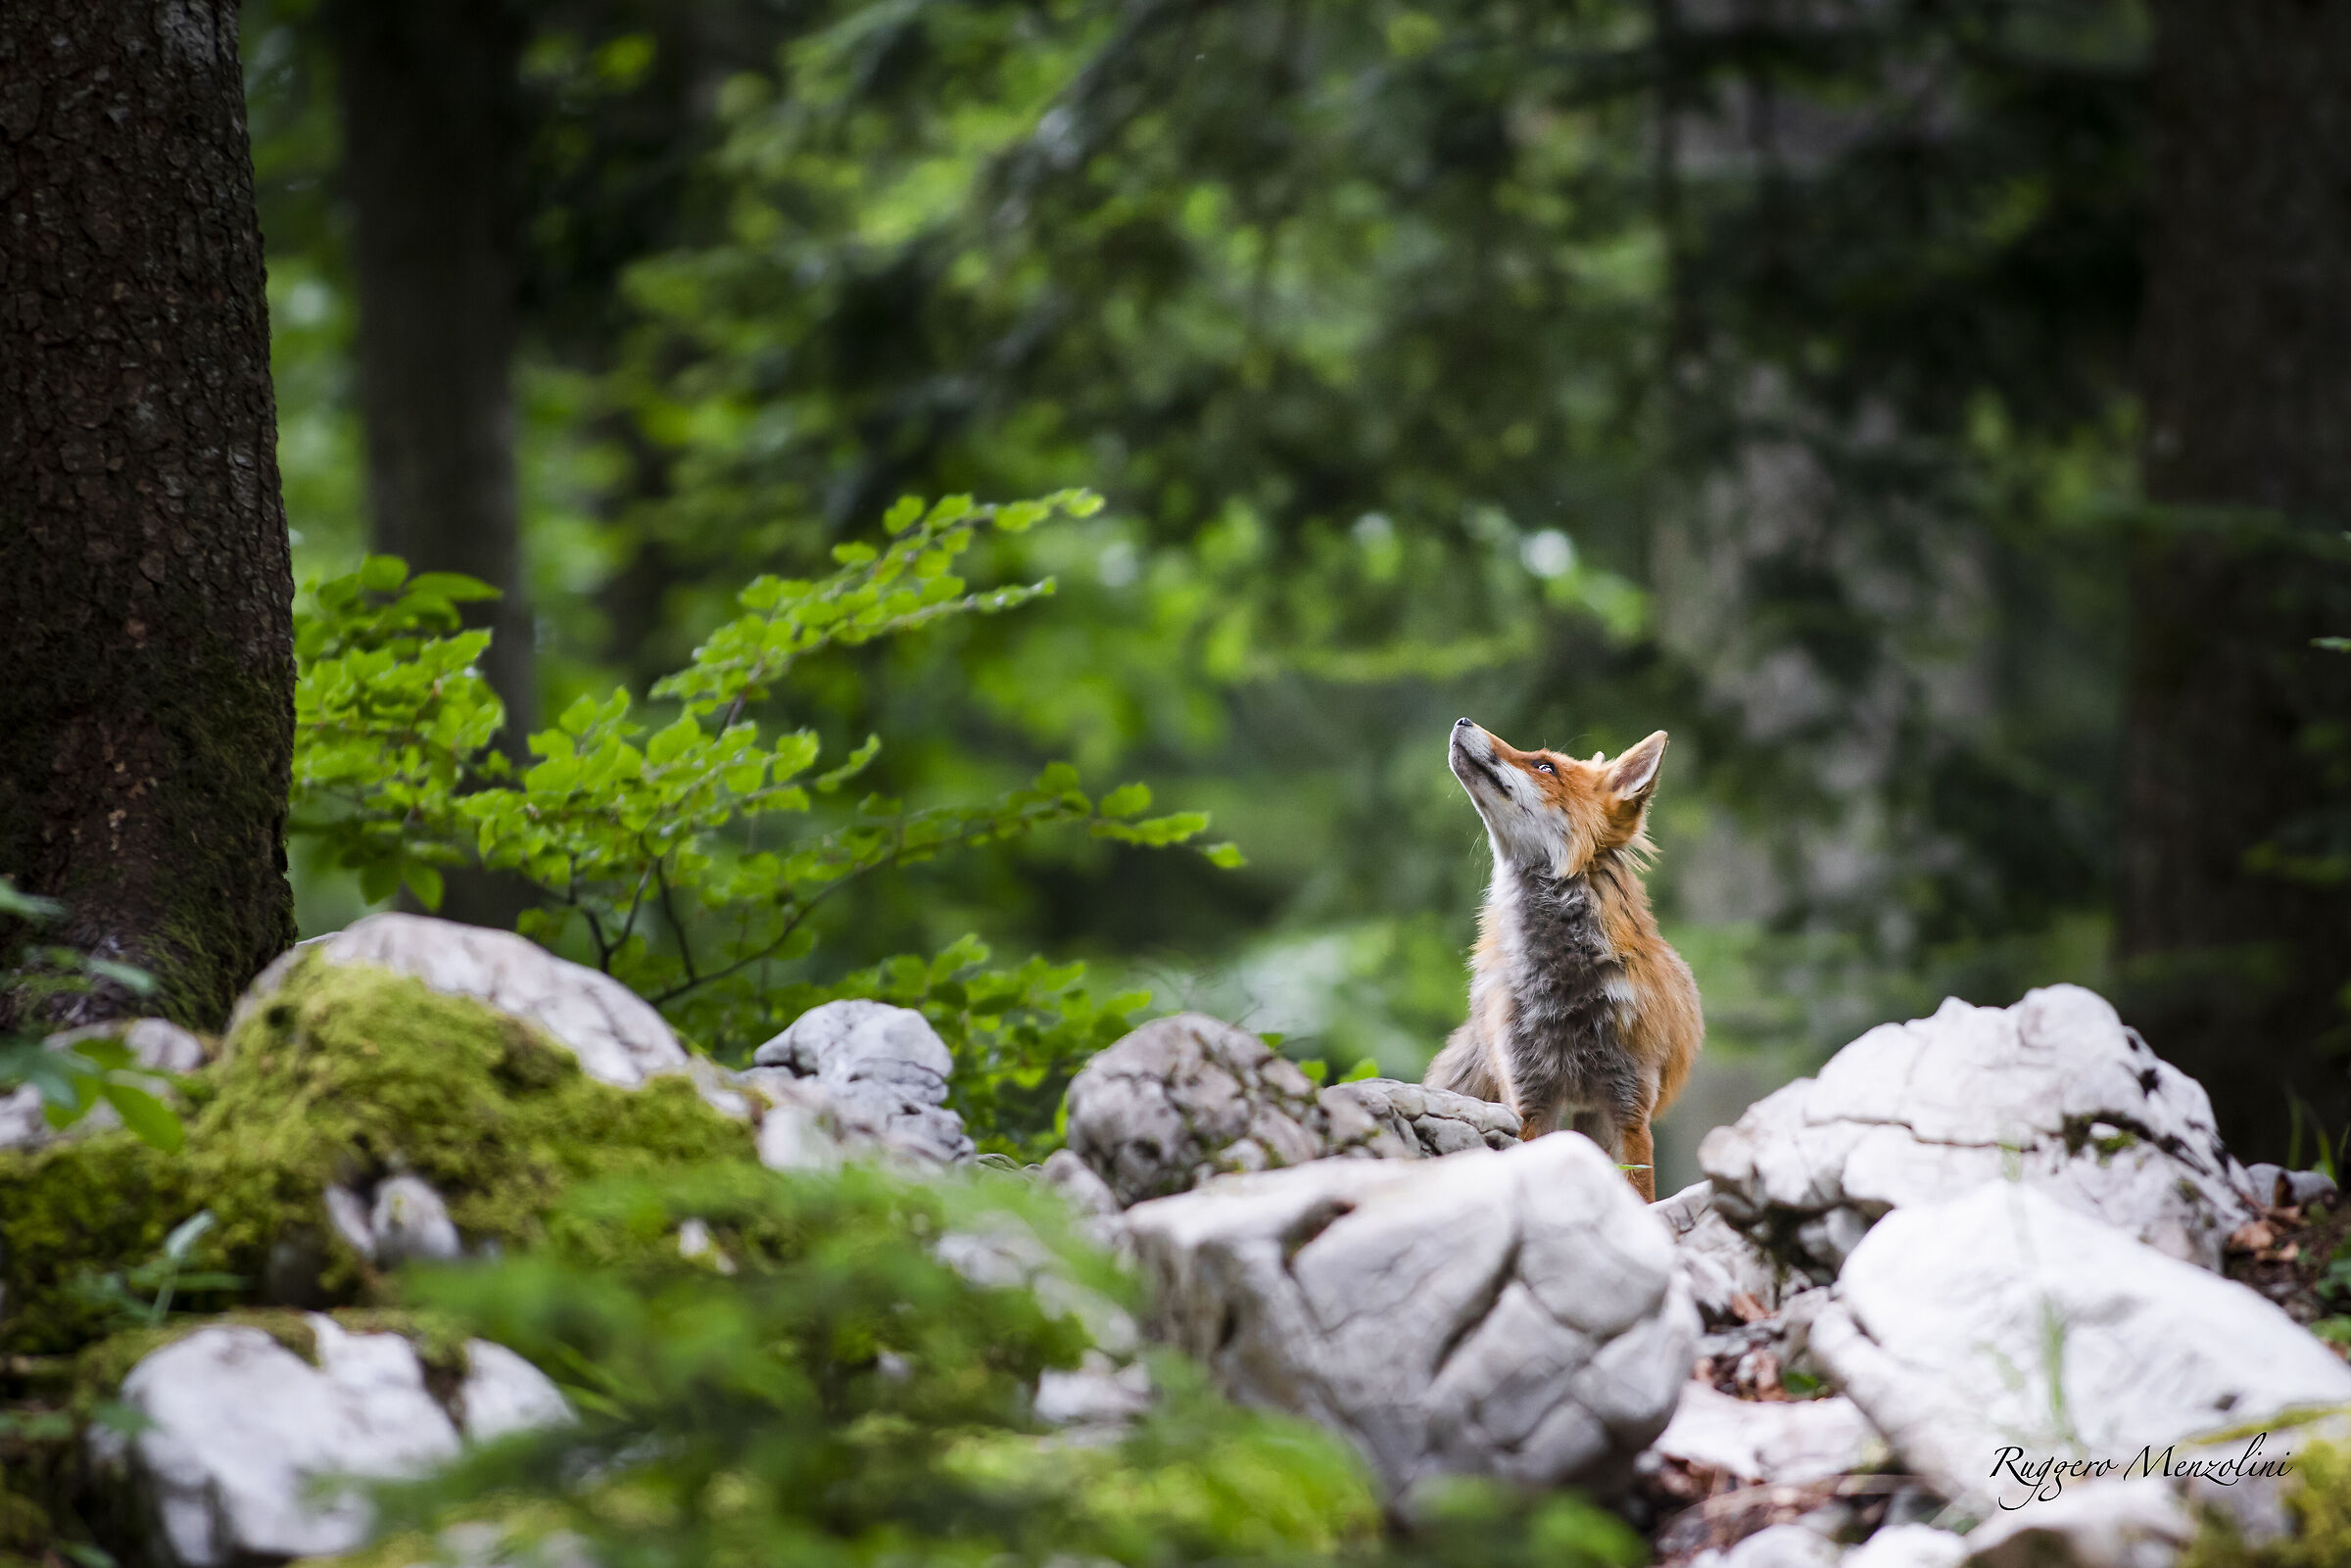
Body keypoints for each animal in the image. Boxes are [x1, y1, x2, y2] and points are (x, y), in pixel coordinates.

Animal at [1424, 717, 1702, 1201]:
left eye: (1545, 766)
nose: (1462, 721)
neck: (1562, 993)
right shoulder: (1530, 1100)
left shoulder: (1628, 1107)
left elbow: (1639, 1193)